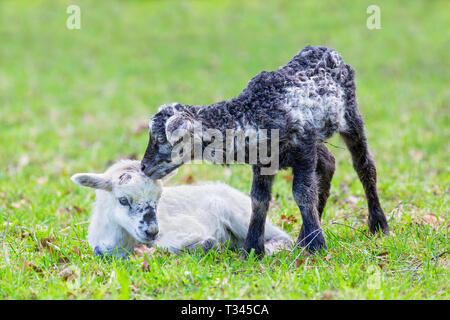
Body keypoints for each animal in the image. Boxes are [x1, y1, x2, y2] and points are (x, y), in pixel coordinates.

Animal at [68, 160, 290, 258]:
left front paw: (207, 244)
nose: (152, 231)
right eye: (123, 200)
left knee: (282, 237)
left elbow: (163, 246)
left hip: (240, 215)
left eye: (158, 199)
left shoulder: (183, 228)